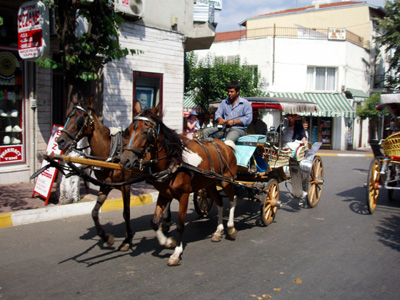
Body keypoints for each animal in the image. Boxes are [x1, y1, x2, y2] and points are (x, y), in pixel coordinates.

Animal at [57, 98, 141, 251]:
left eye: (80, 119)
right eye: (68, 116)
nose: (60, 141)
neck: (110, 152)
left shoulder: (125, 186)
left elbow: (126, 212)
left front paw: (127, 239)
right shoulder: (105, 185)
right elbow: (94, 212)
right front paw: (106, 238)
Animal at [119, 106, 238, 266]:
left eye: (146, 132)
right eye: (129, 130)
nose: (125, 160)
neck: (173, 161)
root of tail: (226, 145)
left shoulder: (184, 195)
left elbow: (180, 225)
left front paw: (176, 252)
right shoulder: (164, 194)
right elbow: (154, 222)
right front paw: (168, 242)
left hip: (227, 181)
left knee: (232, 200)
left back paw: (231, 228)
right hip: (210, 184)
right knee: (219, 202)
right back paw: (218, 231)